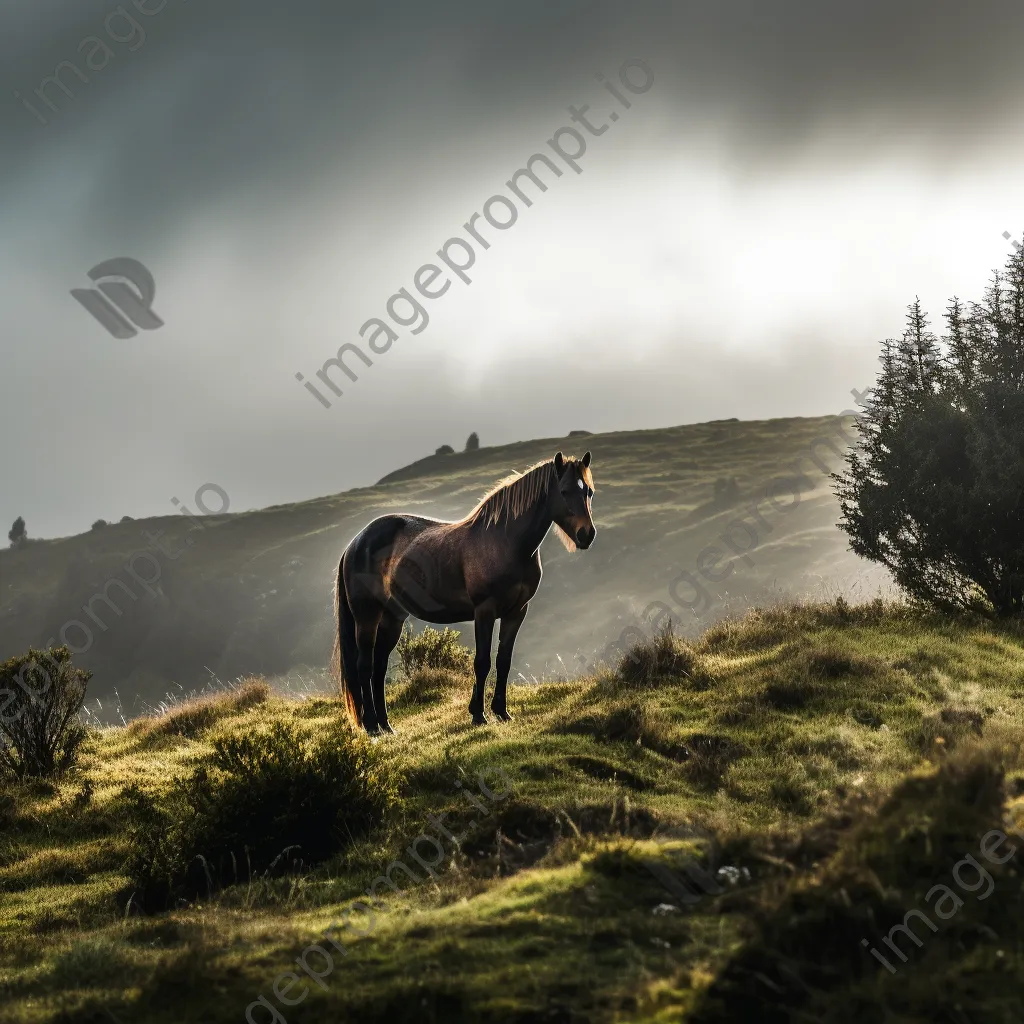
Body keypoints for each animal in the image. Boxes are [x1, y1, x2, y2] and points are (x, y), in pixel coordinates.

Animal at [331, 452, 598, 733]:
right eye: (564, 491)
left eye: (589, 491)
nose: (586, 535)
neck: (505, 542)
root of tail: (355, 543)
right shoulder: (485, 611)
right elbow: (482, 662)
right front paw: (478, 715)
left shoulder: (516, 612)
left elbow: (504, 661)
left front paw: (501, 712)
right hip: (367, 617)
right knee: (364, 666)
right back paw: (372, 725)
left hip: (392, 619)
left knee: (379, 668)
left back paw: (386, 725)